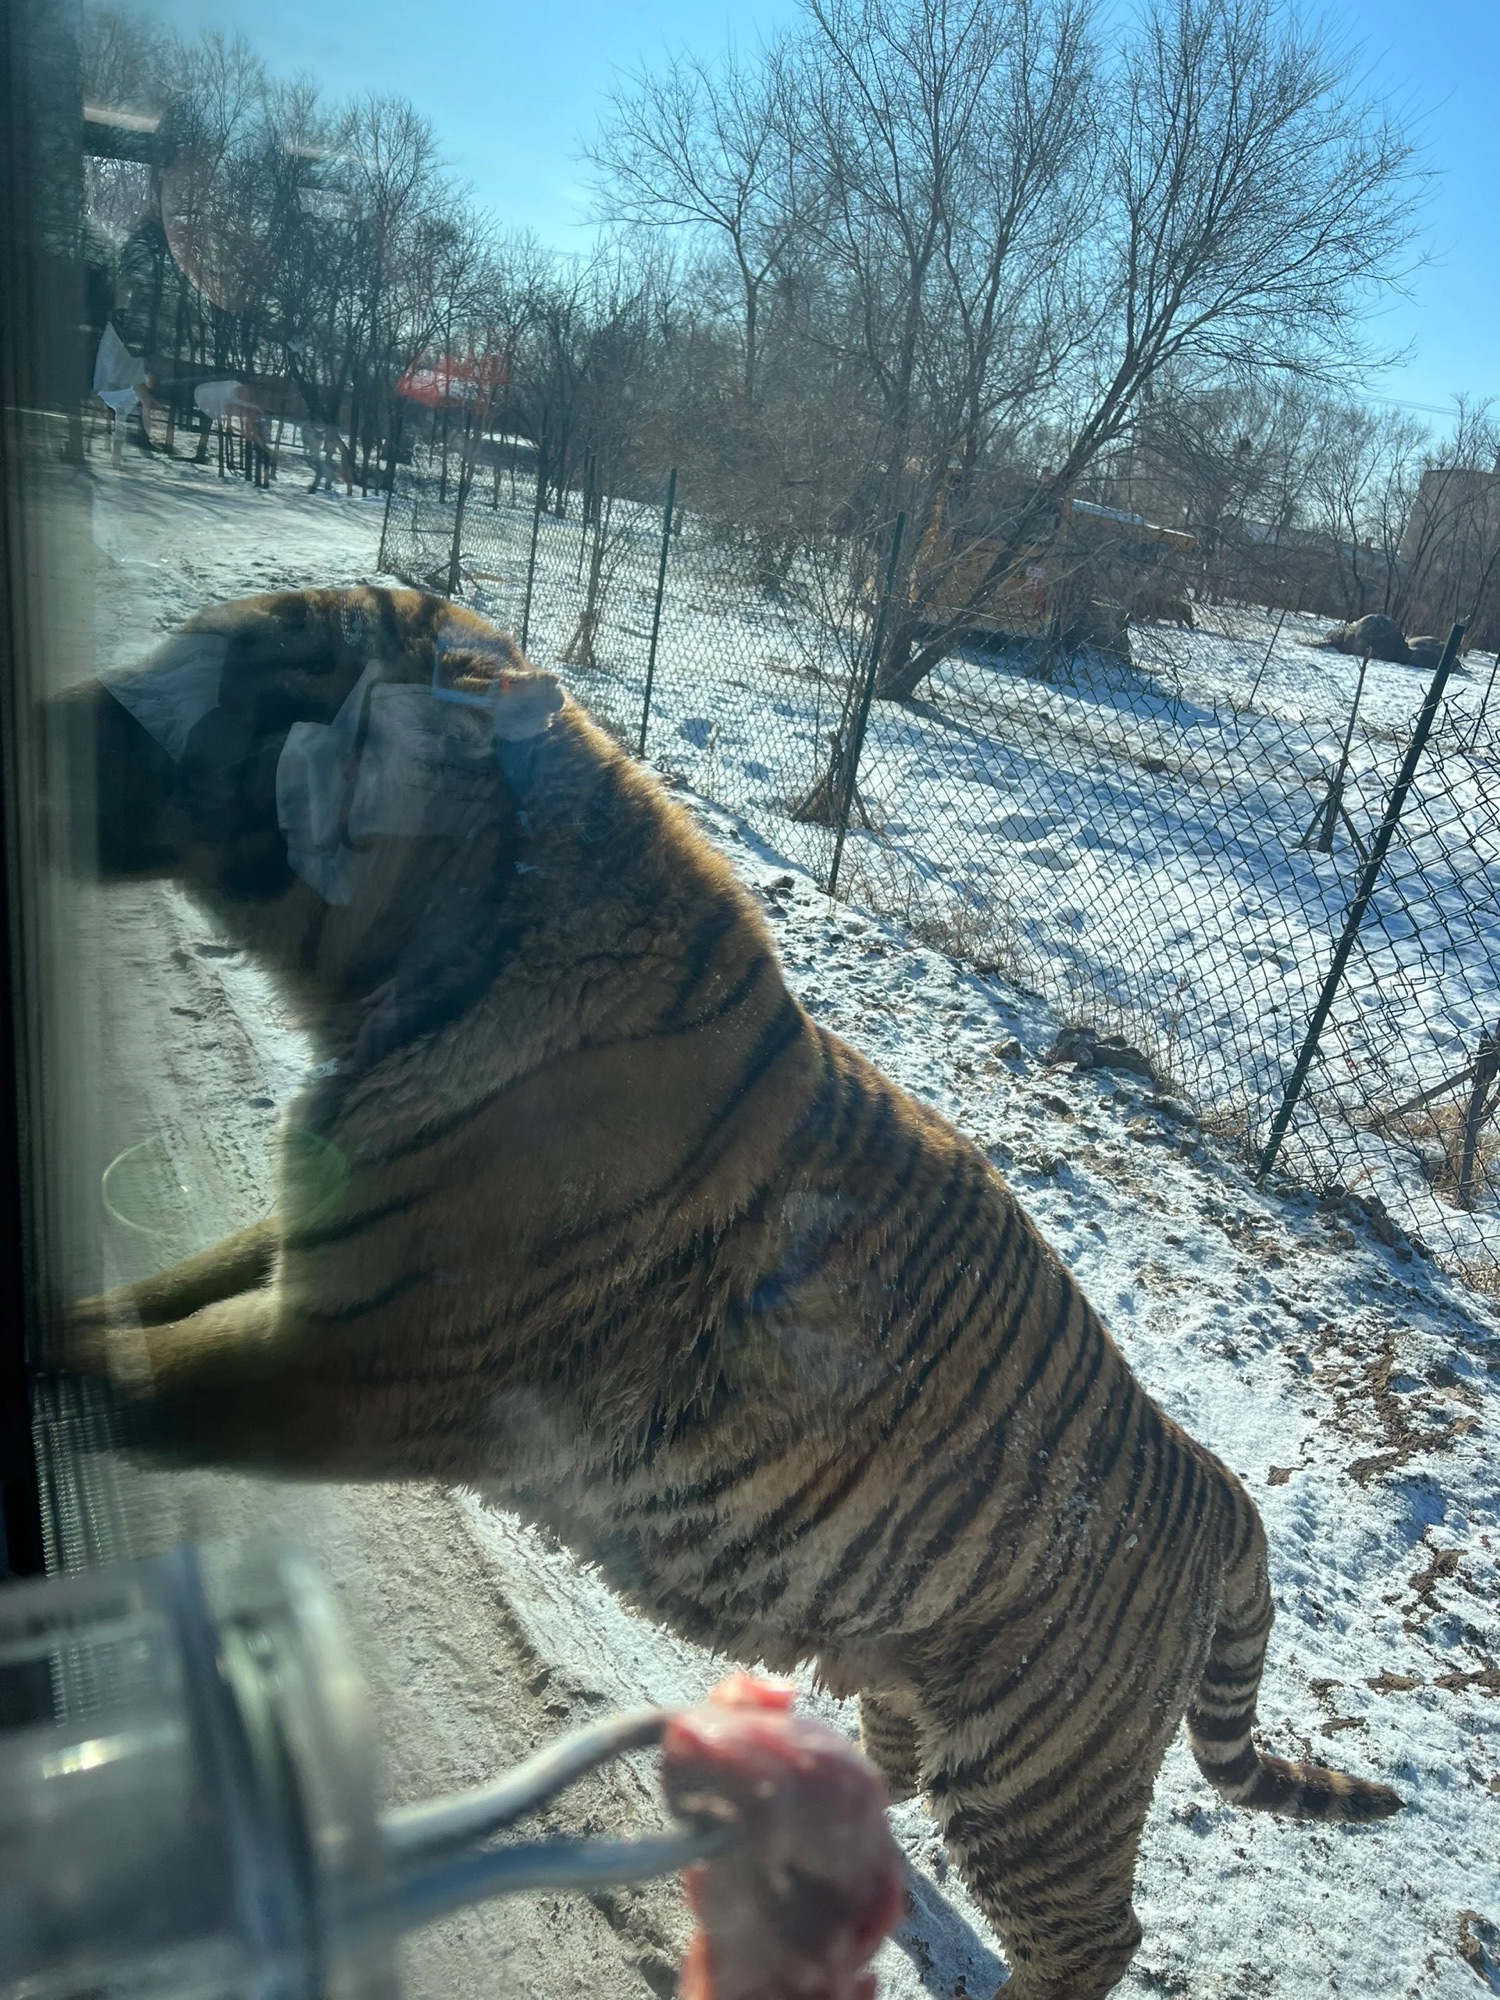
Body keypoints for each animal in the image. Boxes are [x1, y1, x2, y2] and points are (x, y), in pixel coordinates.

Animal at [61, 586, 1402, 2000]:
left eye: (259, 689)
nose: (50, 720)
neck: (411, 975)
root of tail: (1221, 1488)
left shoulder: (346, 1361)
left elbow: (122, 1371)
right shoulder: (308, 1255)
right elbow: (157, 1297)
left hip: (1038, 1778)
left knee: (1097, 1934)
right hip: (909, 1671)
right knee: (893, 1772)